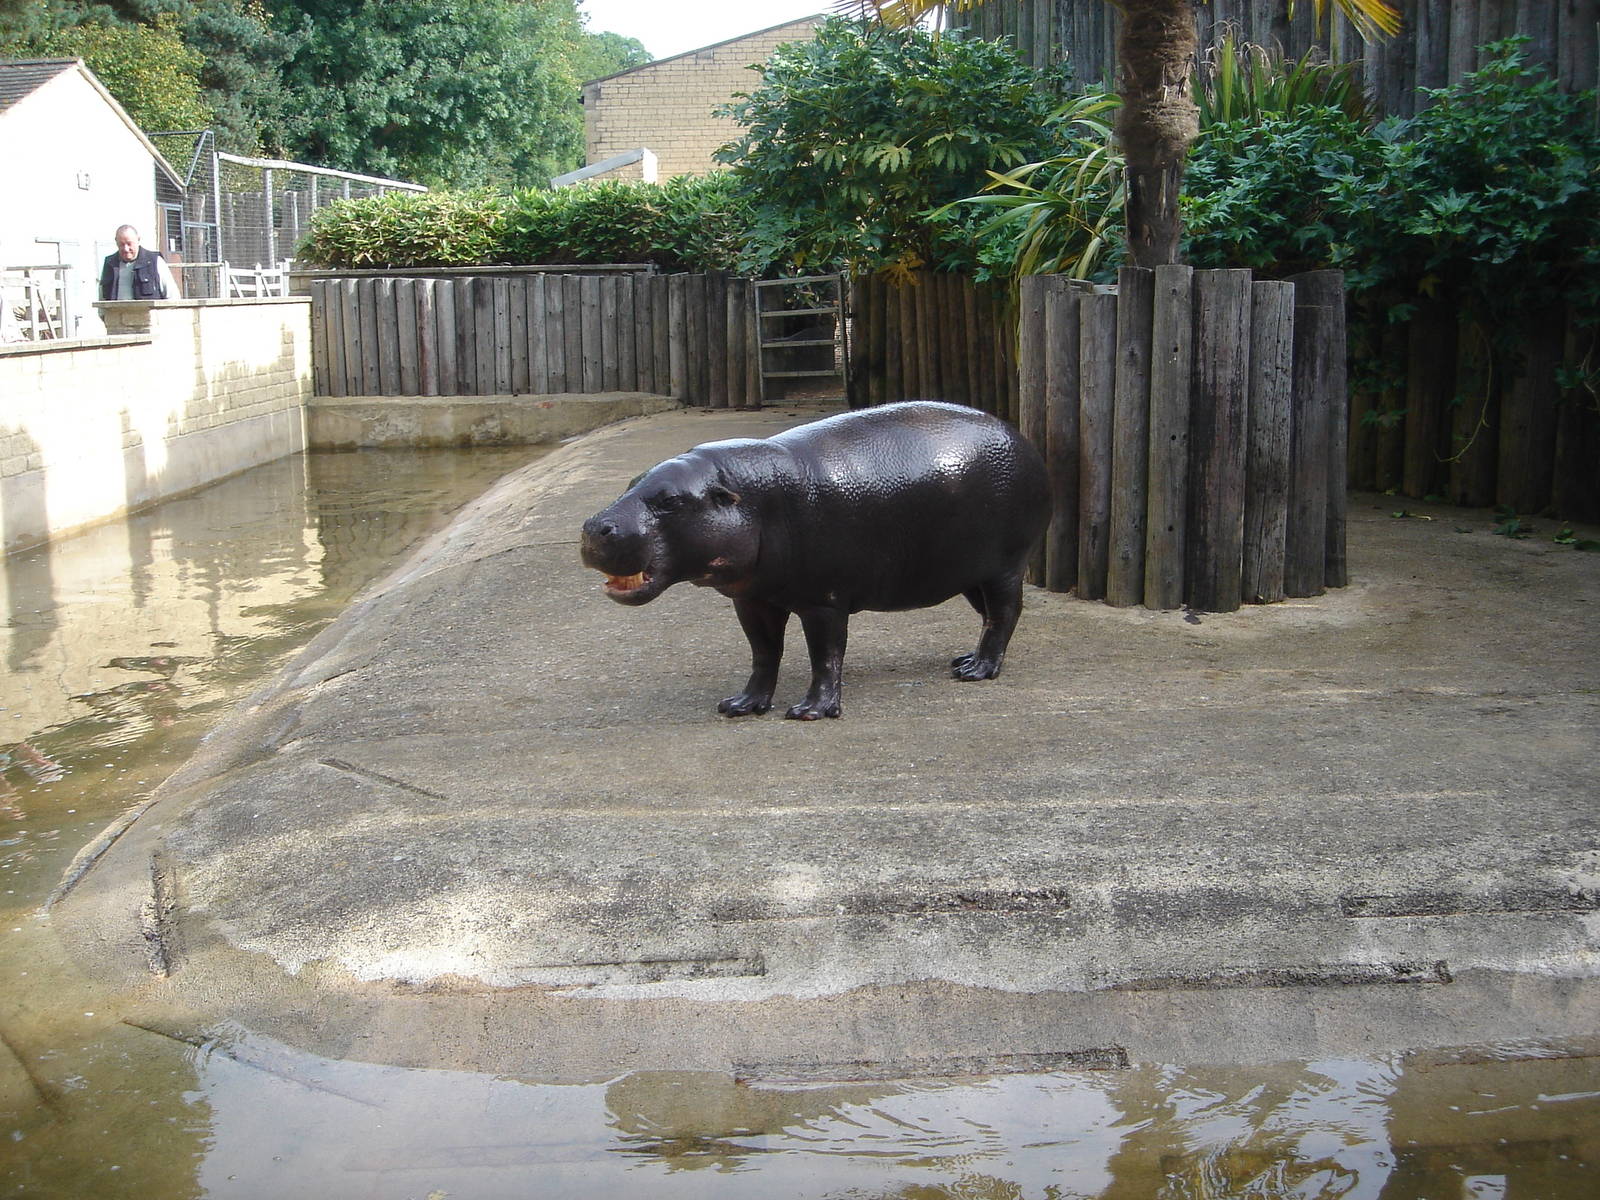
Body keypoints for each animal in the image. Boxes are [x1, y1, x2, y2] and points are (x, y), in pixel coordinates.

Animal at [579, 401, 1050, 719]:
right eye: (630, 482)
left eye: (670, 500)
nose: (592, 526)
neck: (752, 495)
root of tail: (1021, 438)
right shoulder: (752, 600)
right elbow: (763, 652)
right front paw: (741, 705)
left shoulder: (824, 601)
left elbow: (825, 655)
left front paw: (810, 712)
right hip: (969, 571)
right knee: (988, 613)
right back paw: (964, 660)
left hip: (1006, 565)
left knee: (1005, 612)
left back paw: (979, 671)